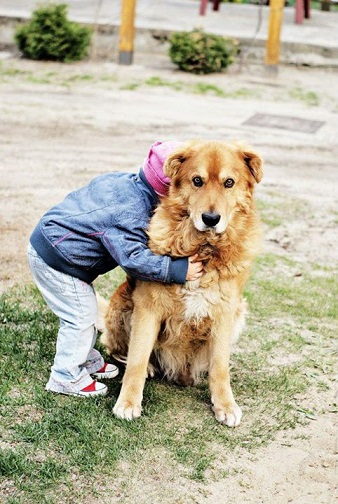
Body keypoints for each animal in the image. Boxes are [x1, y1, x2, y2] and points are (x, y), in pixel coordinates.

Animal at [97, 140, 262, 428]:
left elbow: (220, 366)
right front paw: (128, 402)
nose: (211, 219)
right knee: (118, 348)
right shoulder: (148, 308)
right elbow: (138, 359)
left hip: (240, 311)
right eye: (197, 180)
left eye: (229, 183)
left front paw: (225, 405)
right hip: (123, 306)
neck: (204, 249)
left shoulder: (225, 312)